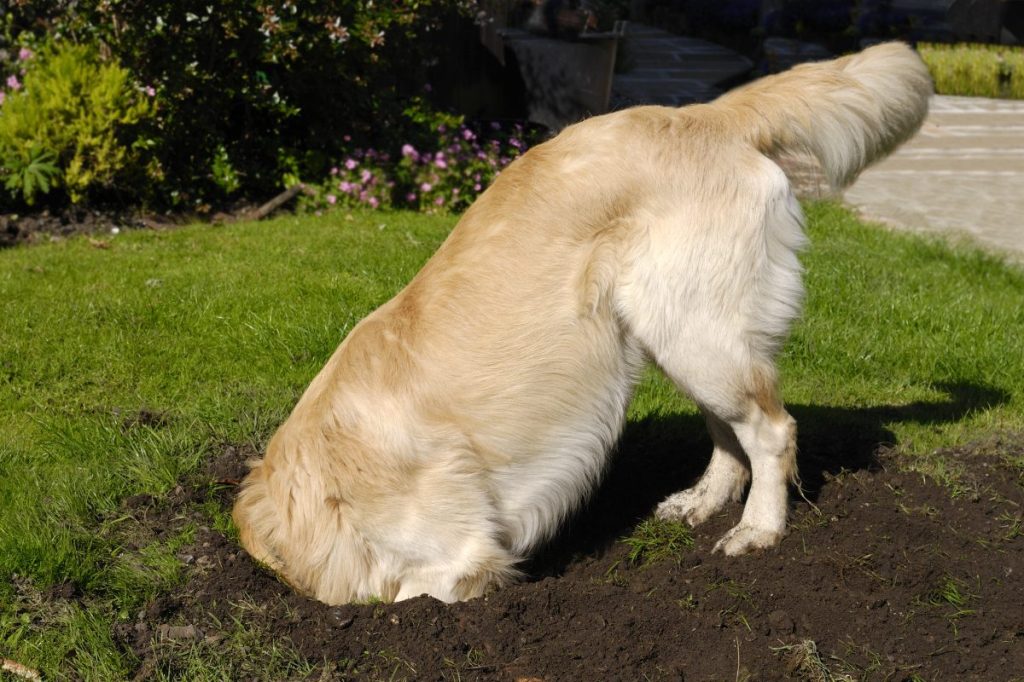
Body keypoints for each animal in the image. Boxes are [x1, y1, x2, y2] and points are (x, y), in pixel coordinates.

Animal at [234, 45, 937, 602]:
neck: (321, 480)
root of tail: (701, 114)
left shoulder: (462, 557)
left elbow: (423, 589)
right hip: (680, 332)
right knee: (729, 433)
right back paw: (703, 502)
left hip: (694, 331)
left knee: (771, 431)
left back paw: (758, 529)